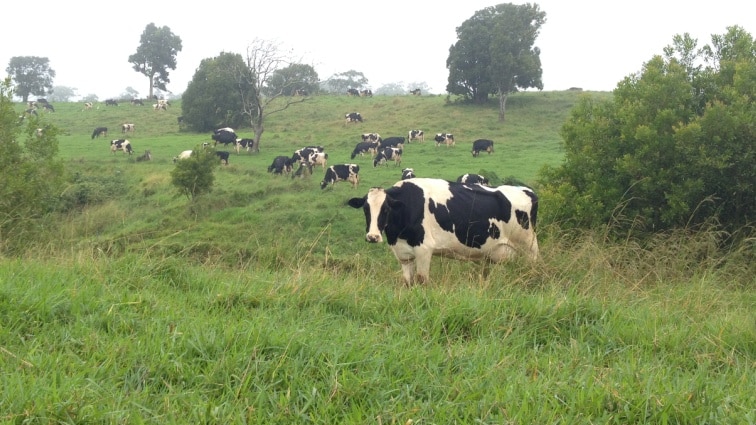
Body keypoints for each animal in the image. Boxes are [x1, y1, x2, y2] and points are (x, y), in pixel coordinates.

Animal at [348, 176, 536, 284]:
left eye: (386, 209)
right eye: (365, 209)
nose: (372, 237)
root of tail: (527, 190)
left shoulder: (424, 249)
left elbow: (422, 280)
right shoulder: (404, 254)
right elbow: (408, 281)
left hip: (529, 248)